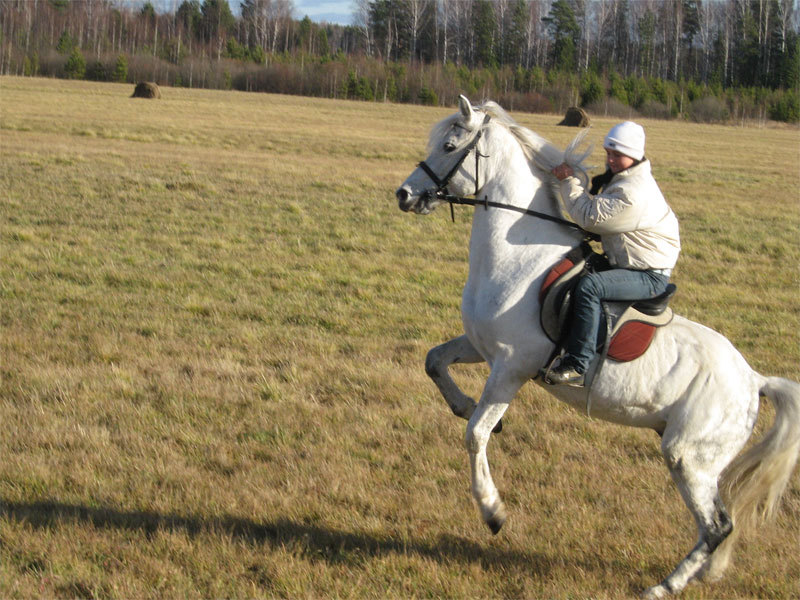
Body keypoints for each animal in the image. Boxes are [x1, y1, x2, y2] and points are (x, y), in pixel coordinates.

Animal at [396, 96, 800, 596]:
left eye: (450, 146)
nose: (404, 195)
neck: (518, 257)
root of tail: (754, 381)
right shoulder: (480, 347)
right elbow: (435, 363)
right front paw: (463, 404)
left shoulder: (511, 367)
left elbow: (475, 434)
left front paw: (493, 512)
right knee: (720, 524)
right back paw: (700, 574)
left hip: (689, 457)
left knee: (717, 525)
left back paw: (664, 586)